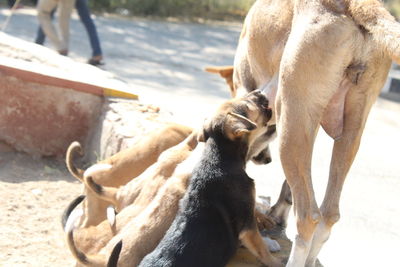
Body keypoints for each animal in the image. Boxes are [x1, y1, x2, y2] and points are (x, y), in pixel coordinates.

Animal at [139, 90, 282, 267]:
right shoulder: (248, 225)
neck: (220, 157)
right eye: (247, 104)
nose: (259, 91)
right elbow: (262, 249)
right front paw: (276, 261)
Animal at [231, 1, 400, 266]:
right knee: (328, 214)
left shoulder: (244, 89)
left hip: (290, 121)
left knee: (308, 216)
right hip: (347, 131)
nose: (265, 159)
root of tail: (357, 5)